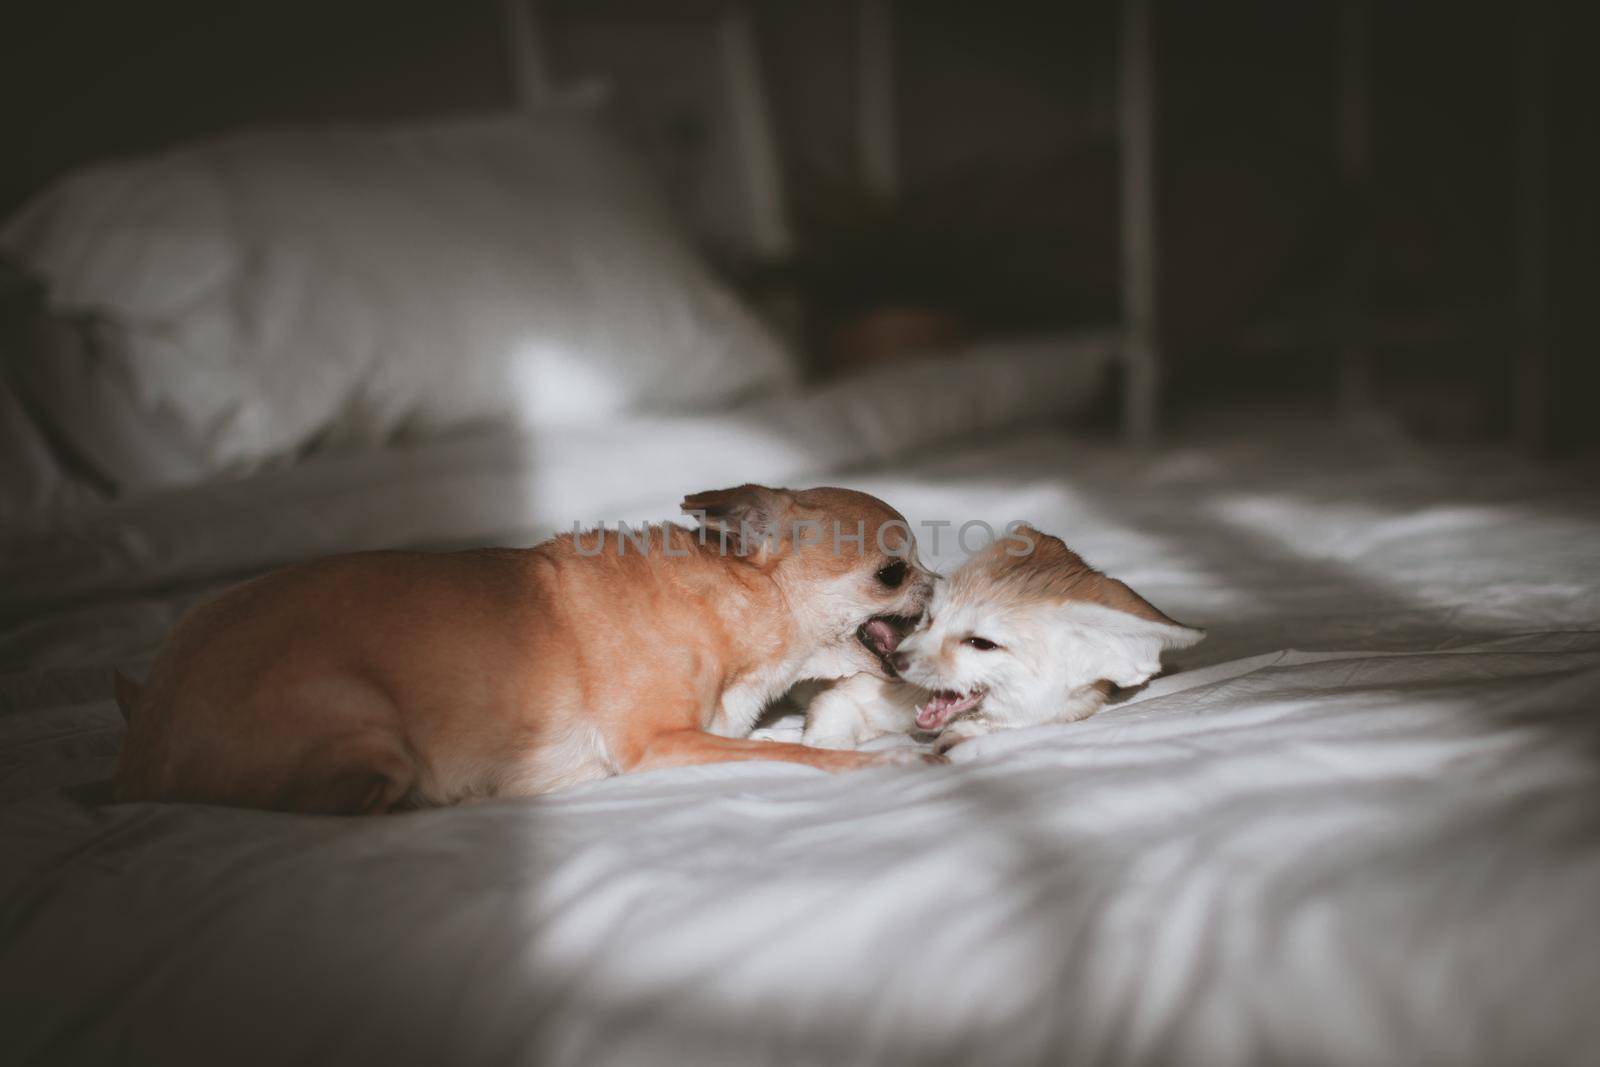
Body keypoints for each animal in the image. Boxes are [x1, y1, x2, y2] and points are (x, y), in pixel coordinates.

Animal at [116, 489, 934, 812]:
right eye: (893, 572)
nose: (940, 584)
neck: (732, 599)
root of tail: (141, 751)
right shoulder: (658, 743)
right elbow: (794, 752)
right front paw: (879, 761)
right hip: (370, 735)